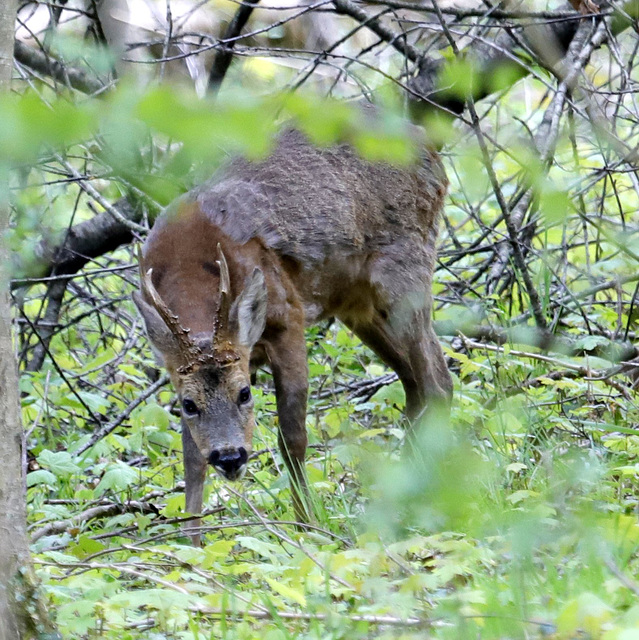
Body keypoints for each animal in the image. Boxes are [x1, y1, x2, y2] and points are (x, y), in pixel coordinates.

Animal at [134, 124, 456, 540]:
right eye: (188, 404)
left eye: (244, 393)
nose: (230, 457)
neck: (190, 266)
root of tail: (425, 143)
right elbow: (191, 456)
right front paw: (191, 542)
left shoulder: (288, 316)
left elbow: (292, 436)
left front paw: (307, 526)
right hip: (356, 304)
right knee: (415, 383)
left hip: (407, 268)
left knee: (437, 382)